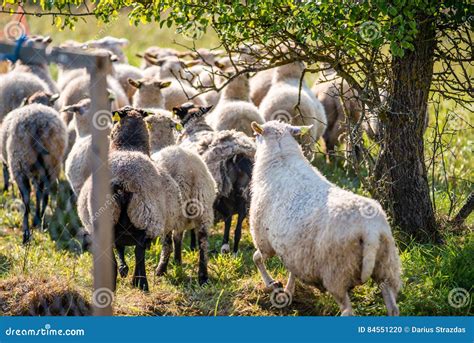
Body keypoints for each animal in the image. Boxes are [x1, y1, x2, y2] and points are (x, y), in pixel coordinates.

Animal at [250, 121, 402, 318]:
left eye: (256, 135)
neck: (281, 158)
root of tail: (371, 229)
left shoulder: (264, 241)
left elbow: (257, 258)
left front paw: (271, 284)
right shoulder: (293, 248)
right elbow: (292, 271)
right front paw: (288, 291)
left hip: (336, 271)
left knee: (347, 311)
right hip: (386, 264)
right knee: (392, 306)